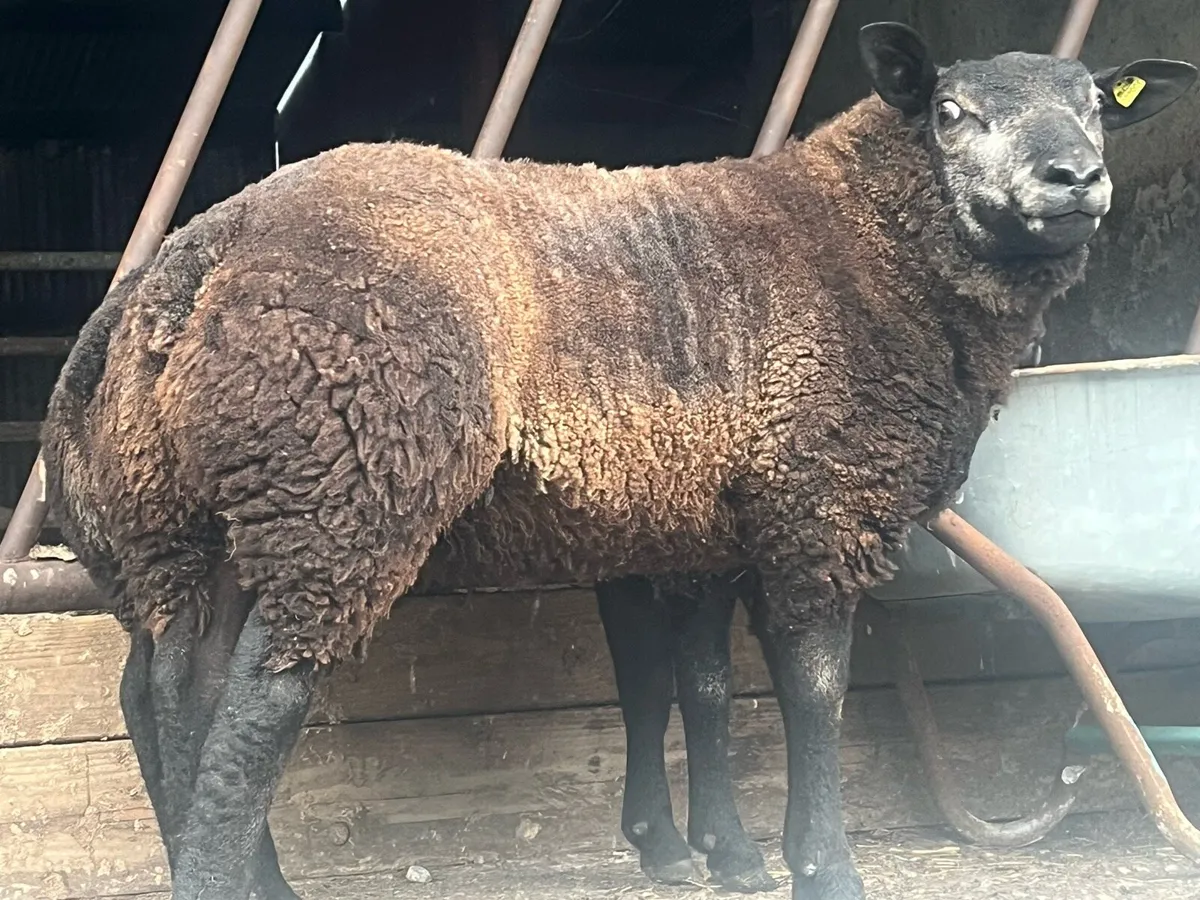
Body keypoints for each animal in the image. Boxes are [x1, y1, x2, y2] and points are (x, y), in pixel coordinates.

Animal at [38, 21, 1195, 900]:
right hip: (339, 487)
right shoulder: (817, 498)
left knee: (168, 688)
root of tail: (190, 263)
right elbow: (810, 688)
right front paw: (819, 867)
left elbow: (687, 685)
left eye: (1097, 105)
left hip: (184, 520)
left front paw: (711, 852)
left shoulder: (687, 520)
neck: (869, 244)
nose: (1076, 178)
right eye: (952, 112)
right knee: (253, 707)